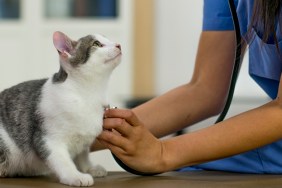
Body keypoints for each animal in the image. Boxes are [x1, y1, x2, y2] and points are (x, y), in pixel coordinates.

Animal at [0, 31, 121, 187]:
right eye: (97, 44)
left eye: (109, 40)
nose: (118, 45)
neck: (87, 95)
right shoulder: (48, 139)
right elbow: (62, 161)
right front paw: (75, 175)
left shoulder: (83, 142)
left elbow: (83, 155)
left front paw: (89, 168)